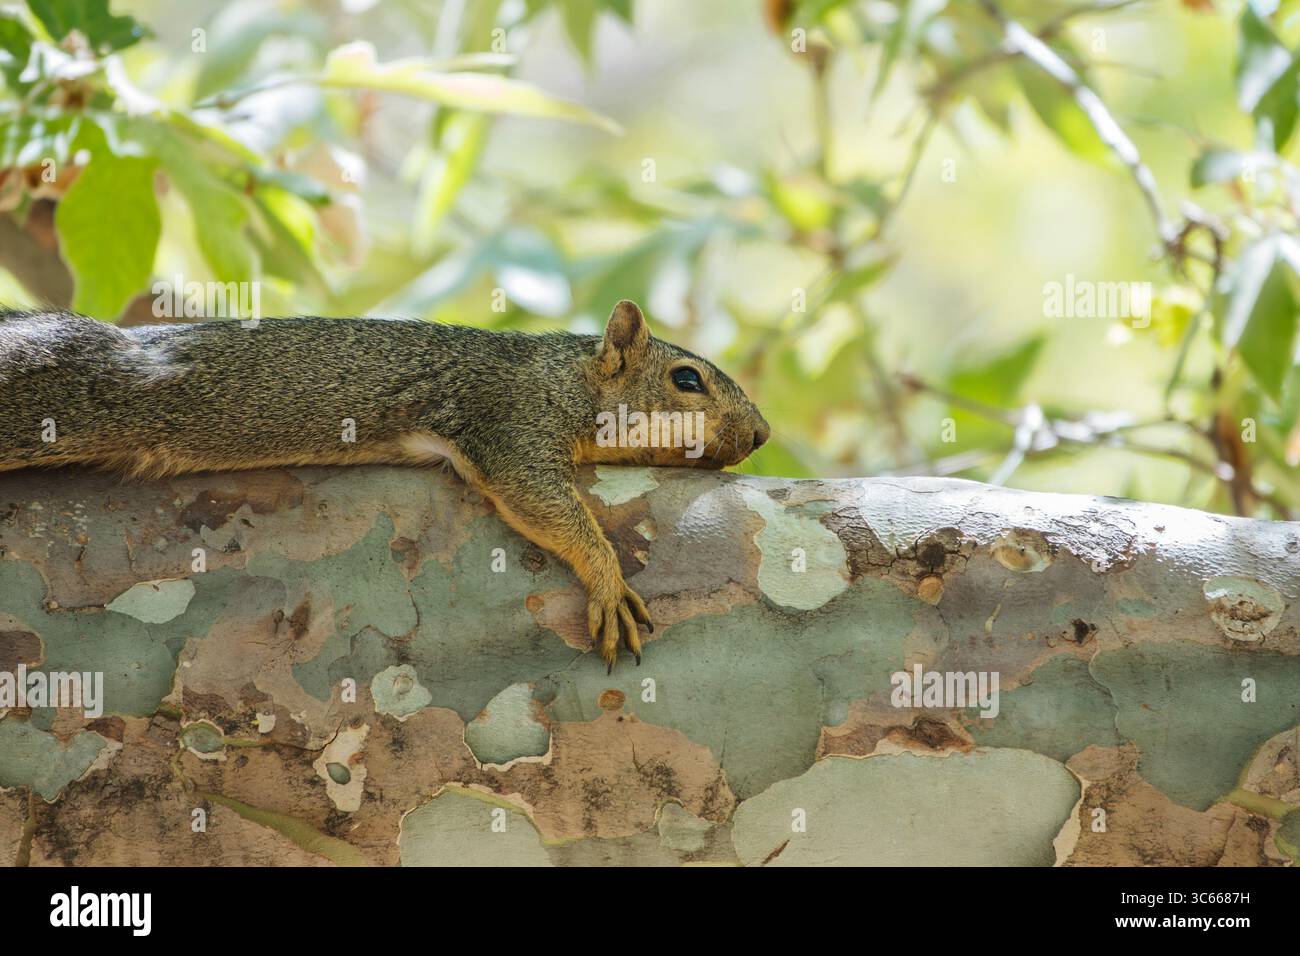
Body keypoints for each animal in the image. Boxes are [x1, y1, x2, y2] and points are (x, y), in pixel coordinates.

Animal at [0, 300, 770, 671]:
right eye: (687, 380)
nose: (762, 434)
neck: (564, 376)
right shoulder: (510, 423)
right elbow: (540, 499)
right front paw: (607, 581)